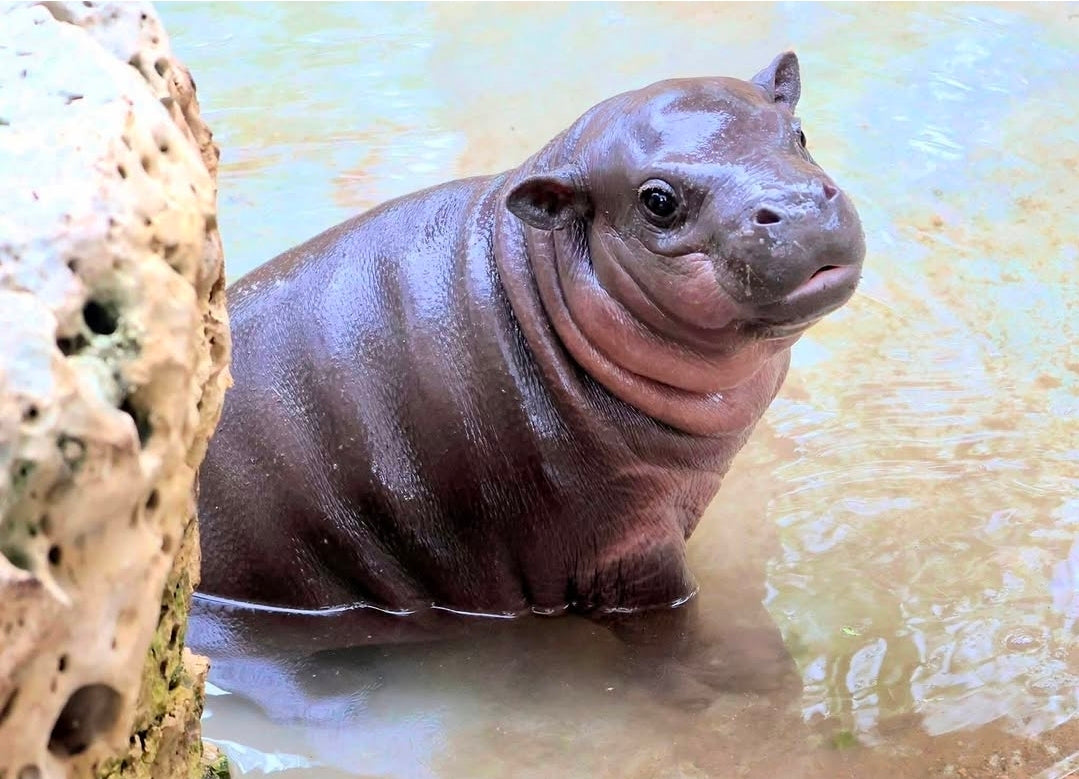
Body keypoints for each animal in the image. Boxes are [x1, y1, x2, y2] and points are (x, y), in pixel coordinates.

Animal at [193, 51, 866, 701]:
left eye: (799, 133)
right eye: (657, 201)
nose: (800, 205)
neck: (537, 291)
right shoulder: (625, 546)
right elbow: (669, 631)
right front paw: (732, 679)